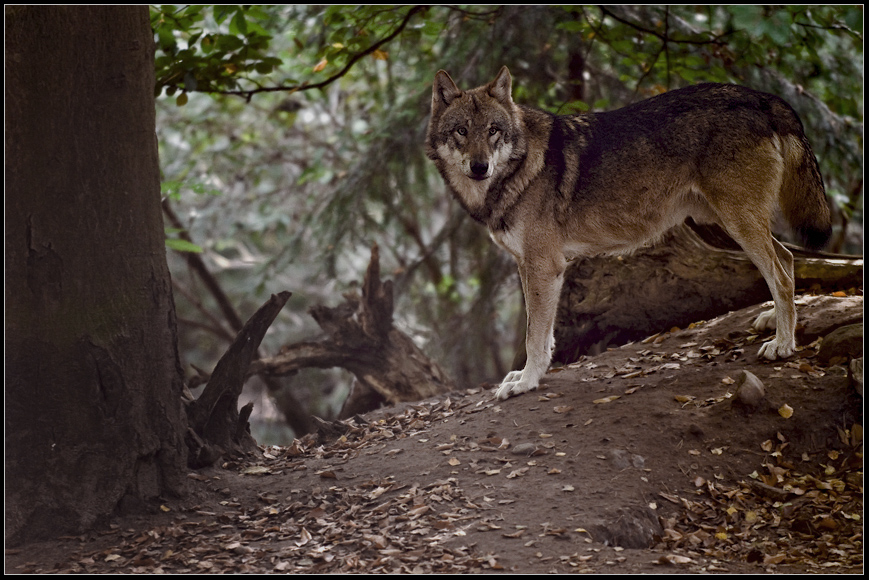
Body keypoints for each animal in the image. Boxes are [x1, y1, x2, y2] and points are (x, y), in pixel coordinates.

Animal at [424, 63, 832, 398]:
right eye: (461, 131)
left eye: (493, 131)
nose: (479, 167)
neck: (521, 168)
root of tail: (762, 97)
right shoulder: (532, 266)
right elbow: (545, 334)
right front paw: (529, 375)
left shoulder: (544, 266)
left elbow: (532, 336)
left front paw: (526, 382)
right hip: (730, 222)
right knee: (788, 258)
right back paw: (773, 322)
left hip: (738, 221)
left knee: (781, 272)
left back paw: (783, 345)